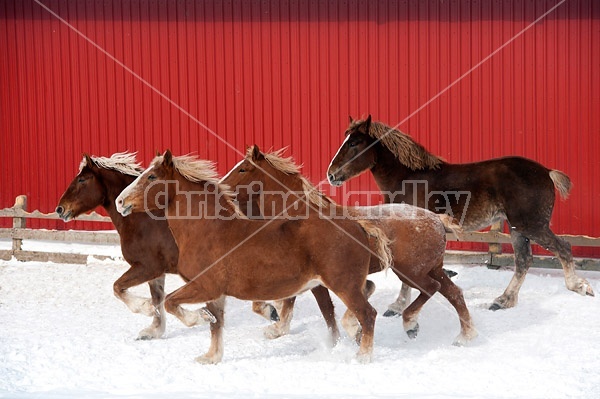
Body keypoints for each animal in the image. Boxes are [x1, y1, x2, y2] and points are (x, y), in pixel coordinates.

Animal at [54, 154, 213, 340]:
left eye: (82, 179)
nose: (60, 209)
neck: (144, 221)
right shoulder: (155, 273)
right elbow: (157, 299)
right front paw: (153, 330)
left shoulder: (148, 267)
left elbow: (117, 287)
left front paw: (147, 308)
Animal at [115, 151, 382, 366]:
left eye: (151, 177)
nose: (120, 201)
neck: (208, 230)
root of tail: (358, 226)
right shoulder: (215, 292)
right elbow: (216, 324)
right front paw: (211, 357)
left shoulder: (205, 285)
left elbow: (170, 302)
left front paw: (196, 317)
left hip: (343, 284)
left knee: (367, 314)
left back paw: (362, 356)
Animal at [221, 146, 478, 346]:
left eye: (243, 169)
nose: (221, 188)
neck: (301, 216)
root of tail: (437, 220)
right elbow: (302, 306)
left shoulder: (313, 280)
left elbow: (323, 310)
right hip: (432, 268)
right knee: (454, 293)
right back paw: (464, 337)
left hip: (411, 272)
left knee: (432, 288)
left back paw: (410, 324)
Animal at [328, 114, 596, 310]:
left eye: (354, 143)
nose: (331, 174)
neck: (408, 179)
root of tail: (547, 172)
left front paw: (397, 306)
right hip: (518, 228)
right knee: (523, 260)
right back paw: (503, 301)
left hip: (531, 225)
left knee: (562, 248)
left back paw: (579, 286)